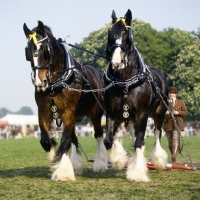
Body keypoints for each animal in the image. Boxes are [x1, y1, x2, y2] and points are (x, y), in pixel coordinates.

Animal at [22, 21, 108, 180]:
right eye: (28, 52)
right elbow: (46, 141)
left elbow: (65, 141)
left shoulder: (68, 112)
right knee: (74, 137)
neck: (56, 82)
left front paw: (63, 172)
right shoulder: (44, 112)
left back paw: (100, 163)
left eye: (46, 50)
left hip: (95, 114)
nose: (39, 82)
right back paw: (76, 164)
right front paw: (55, 162)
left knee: (98, 135)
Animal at [103, 9, 169, 181]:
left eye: (127, 35)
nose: (116, 62)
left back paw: (158, 160)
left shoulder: (142, 114)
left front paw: (138, 173)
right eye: (111, 33)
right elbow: (108, 140)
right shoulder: (112, 113)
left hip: (159, 113)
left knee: (157, 133)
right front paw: (119, 158)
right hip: (131, 118)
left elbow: (140, 142)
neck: (125, 82)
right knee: (134, 136)